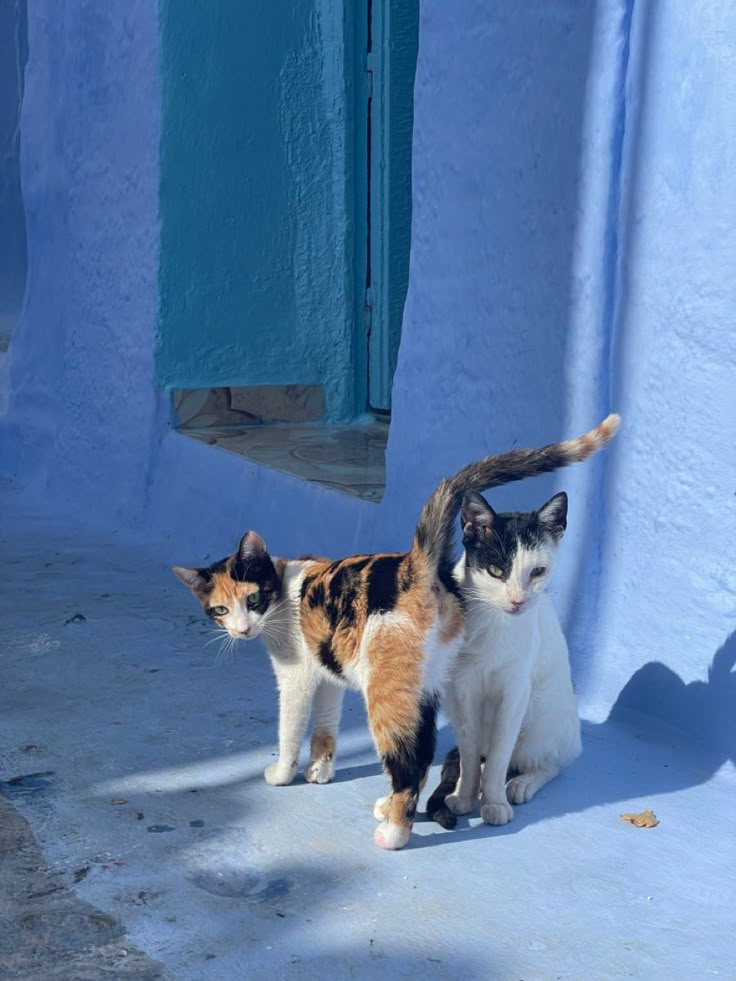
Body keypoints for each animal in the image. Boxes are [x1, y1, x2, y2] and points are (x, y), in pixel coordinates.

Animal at [428, 486, 584, 824]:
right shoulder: (464, 687)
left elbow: (502, 752)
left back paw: (521, 783)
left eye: (537, 572)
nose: (517, 600)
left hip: (541, 713)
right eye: (496, 571)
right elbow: (470, 749)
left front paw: (495, 802)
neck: (494, 622)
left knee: (547, 762)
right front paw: (465, 795)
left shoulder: (515, 690)